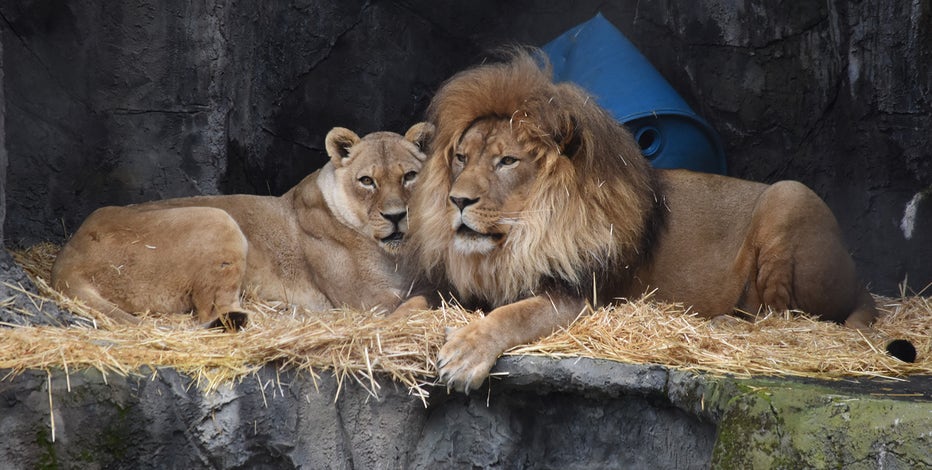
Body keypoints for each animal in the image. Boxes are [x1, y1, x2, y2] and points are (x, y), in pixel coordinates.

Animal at [51, 123, 433, 329]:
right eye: (367, 181)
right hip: (217, 218)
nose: (396, 216)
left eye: (409, 176)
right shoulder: (365, 300)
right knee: (212, 313)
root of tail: (66, 258)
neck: (394, 254)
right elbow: (423, 299)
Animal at [404, 49, 912, 393]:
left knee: (781, 319)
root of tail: (862, 284)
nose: (457, 200)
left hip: (790, 194)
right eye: (461, 158)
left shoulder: (582, 298)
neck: (516, 241)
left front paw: (465, 354)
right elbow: (412, 303)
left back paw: (724, 326)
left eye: (507, 161)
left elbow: (513, 314)